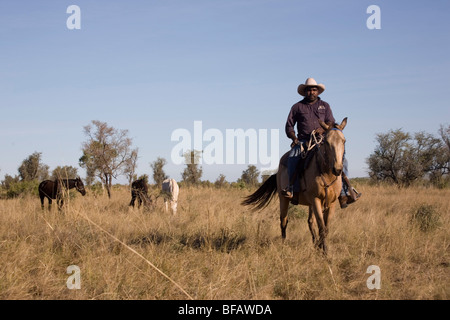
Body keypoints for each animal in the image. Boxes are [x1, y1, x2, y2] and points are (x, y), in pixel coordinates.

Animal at [243, 117, 348, 255]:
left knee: (310, 222)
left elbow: (326, 228)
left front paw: (322, 248)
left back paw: (315, 244)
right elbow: (321, 226)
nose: (337, 169)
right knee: (283, 221)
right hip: (284, 199)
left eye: (344, 141)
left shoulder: (331, 203)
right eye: (326, 142)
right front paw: (324, 252)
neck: (326, 174)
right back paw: (283, 244)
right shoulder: (316, 200)